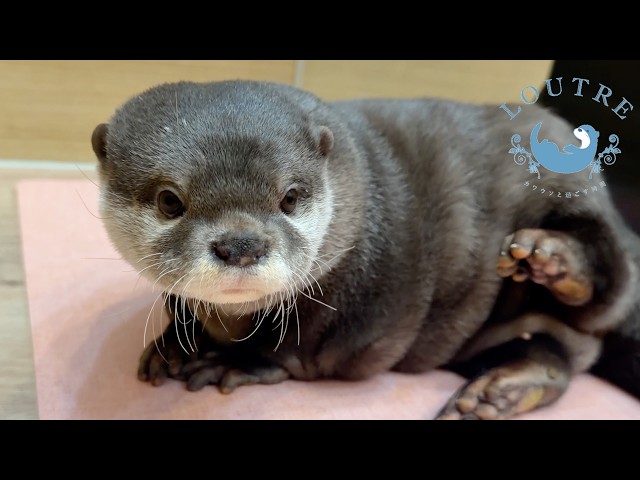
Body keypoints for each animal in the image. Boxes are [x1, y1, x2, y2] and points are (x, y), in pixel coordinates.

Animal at [91, 80, 640, 419]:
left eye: (290, 196)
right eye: (170, 200)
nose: (241, 244)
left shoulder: (351, 301)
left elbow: (295, 349)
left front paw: (233, 361)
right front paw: (171, 346)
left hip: (579, 202)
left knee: (602, 289)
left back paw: (556, 261)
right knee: (553, 355)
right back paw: (499, 390)